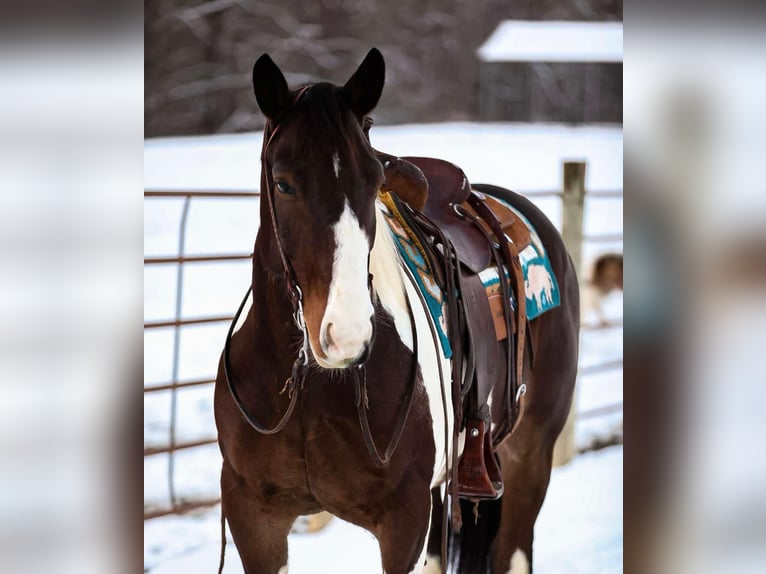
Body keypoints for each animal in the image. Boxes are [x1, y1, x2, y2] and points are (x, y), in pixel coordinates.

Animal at [214, 48, 579, 574]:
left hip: (528, 457)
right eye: (282, 183)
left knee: (514, 549)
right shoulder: (254, 516)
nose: (345, 336)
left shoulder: (403, 520)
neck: (308, 389)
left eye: (374, 182)